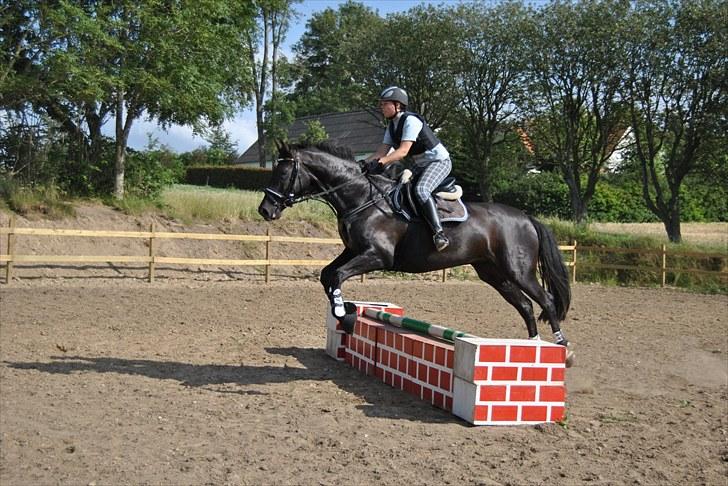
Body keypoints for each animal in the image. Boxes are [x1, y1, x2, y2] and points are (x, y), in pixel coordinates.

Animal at [258, 142, 572, 362]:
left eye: (283, 173)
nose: (265, 210)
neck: (361, 198)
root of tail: (526, 217)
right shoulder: (354, 250)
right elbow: (327, 275)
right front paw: (346, 312)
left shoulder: (377, 255)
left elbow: (336, 276)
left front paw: (342, 312)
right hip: (493, 273)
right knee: (525, 305)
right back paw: (532, 347)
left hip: (518, 269)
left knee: (545, 300)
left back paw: (562, 348)